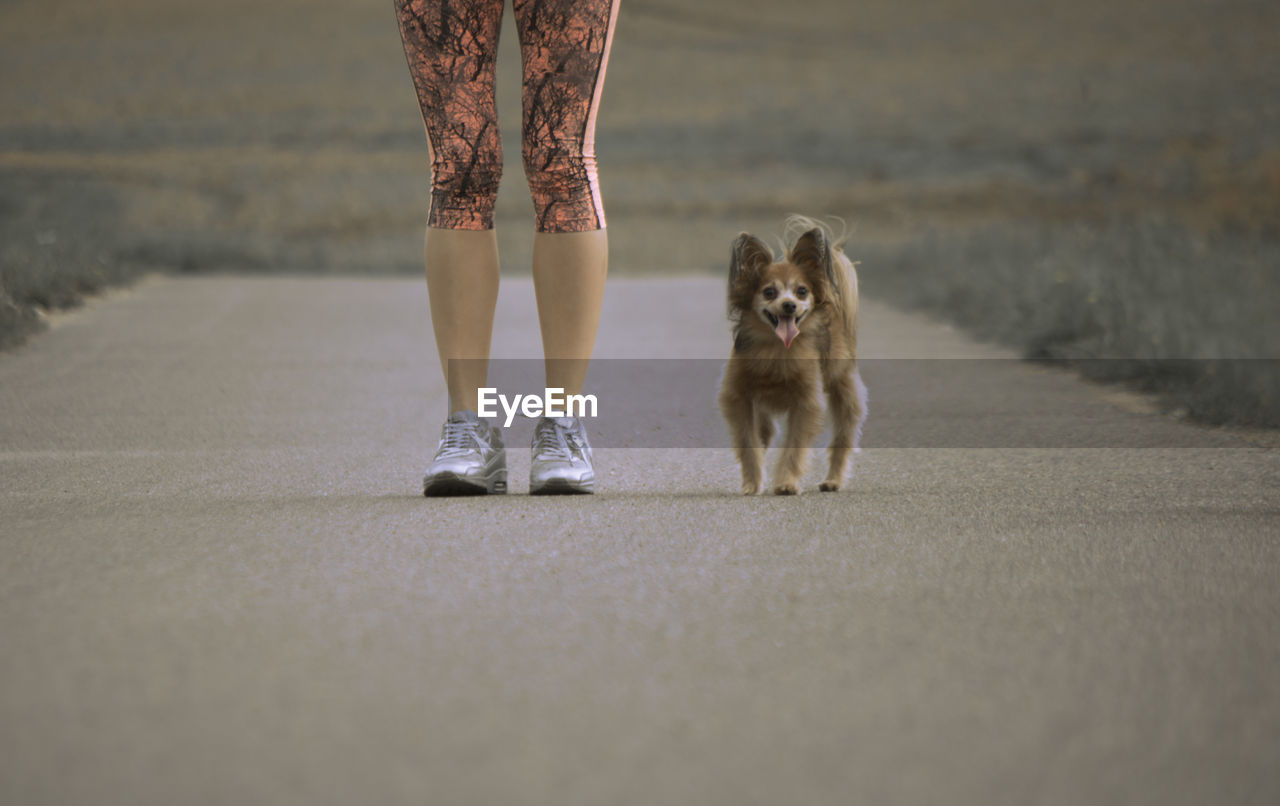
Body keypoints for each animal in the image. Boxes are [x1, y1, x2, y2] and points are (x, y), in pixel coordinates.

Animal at [716, 217, 865, 496]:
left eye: (802, 291)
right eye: (769, 292)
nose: (789, 305)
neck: (777, 350)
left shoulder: (805, 403)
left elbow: (794, 446)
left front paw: (786, 482)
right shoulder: (739, 398)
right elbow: (748, 442)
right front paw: (752, 482)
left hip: (844, 391)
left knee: (842, 439)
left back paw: (833, 480)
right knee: (765, 431)